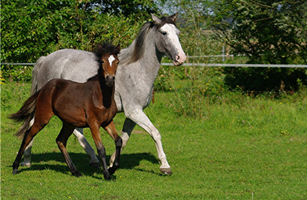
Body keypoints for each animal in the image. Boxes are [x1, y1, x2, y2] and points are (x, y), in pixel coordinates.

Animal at [21, 13, 188, 175]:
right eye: (164, 32)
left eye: (178, 32)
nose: (181, 58)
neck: (136, 69)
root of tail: (45, 59)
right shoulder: (134, 111)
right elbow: (155, 133)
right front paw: (165, 166)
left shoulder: (133, 114)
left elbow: (124, 138)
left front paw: (112, 163)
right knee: (32, 125)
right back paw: (26, 160)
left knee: (75, 130)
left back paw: (93, 159)